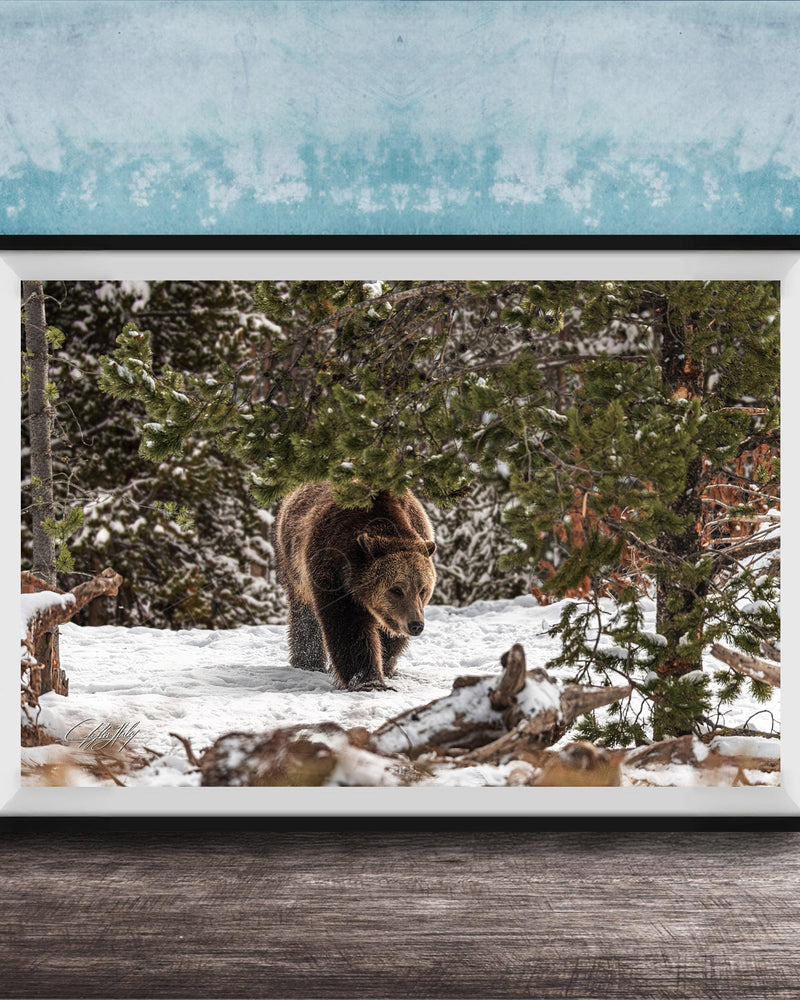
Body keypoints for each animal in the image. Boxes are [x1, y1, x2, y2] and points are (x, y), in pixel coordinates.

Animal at [274, 482, 437, 690]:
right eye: (396, 589)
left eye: (423, 589)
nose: (416, 625)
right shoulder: (333, 570)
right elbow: (348, 625)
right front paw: (367, 680)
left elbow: (387, 638)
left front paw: (384, 666)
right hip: (294, 566)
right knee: (305, 616)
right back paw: (308, 662)